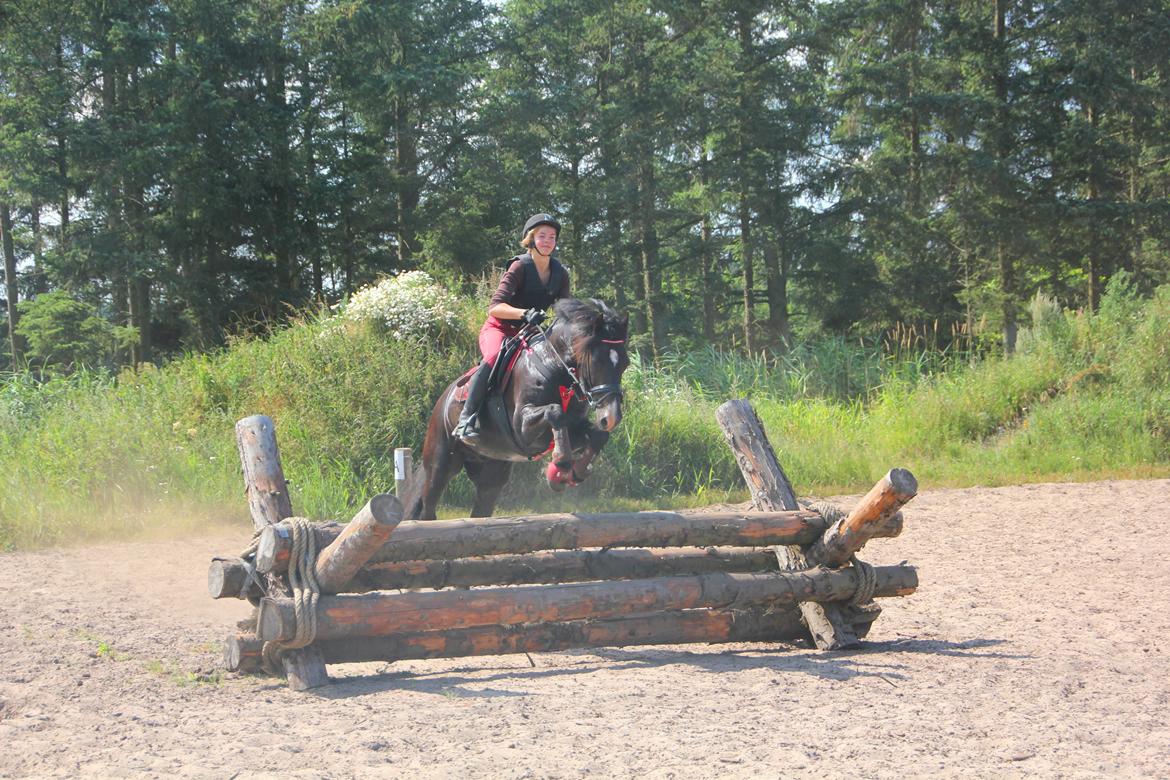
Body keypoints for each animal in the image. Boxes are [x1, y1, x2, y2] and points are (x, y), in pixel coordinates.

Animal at [409, 301, 631, 521]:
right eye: (596, 361)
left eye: (625, 363)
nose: (611, 417)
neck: (554, 366)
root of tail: (442, 400)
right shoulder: (522, 428)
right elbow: (555, 412)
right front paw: (561, 464)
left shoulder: (574, 428)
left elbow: (598, 436)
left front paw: (573, 472)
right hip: (441, 463)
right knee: (429, 505)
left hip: (491, 473)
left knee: (481, 508)